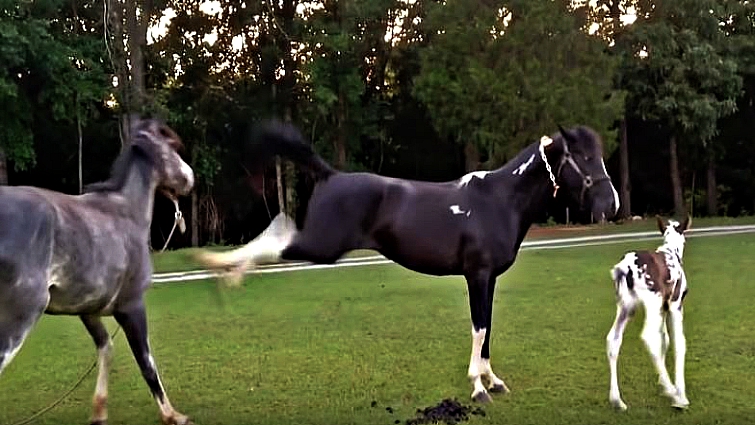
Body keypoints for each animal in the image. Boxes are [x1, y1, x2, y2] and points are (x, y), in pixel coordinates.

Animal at [0, 118, 195, 425]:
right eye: (172, 147)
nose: (190, 177)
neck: (127, 212)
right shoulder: (131, 306)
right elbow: (147, 363)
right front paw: (173, 415)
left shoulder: (88, 310)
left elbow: (106, 350)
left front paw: (99, 413)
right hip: (20, 314)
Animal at [195, 120, 620, 403]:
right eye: (583, 157)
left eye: (599, 155)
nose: (611, 204)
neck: (498, 200)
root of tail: (331, 175)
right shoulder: (477, 275)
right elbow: (479, 328)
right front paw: (478, 387)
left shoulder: (490, 279)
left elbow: (487, 329)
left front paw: (493, 380)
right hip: (322, 247)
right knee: (278, 234)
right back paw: (219, 266)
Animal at [607, 215, 691, 411]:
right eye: (684, 239)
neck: (672, 250)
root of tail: (624, 269)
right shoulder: (675, 303)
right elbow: (679, 342)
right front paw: (680, 395)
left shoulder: (664, 307)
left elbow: (665, 340)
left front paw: (662, 384)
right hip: (651, 302)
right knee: (648, 336)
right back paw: (674, 394)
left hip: (626, 306)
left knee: (613, 339)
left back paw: (617, 400)